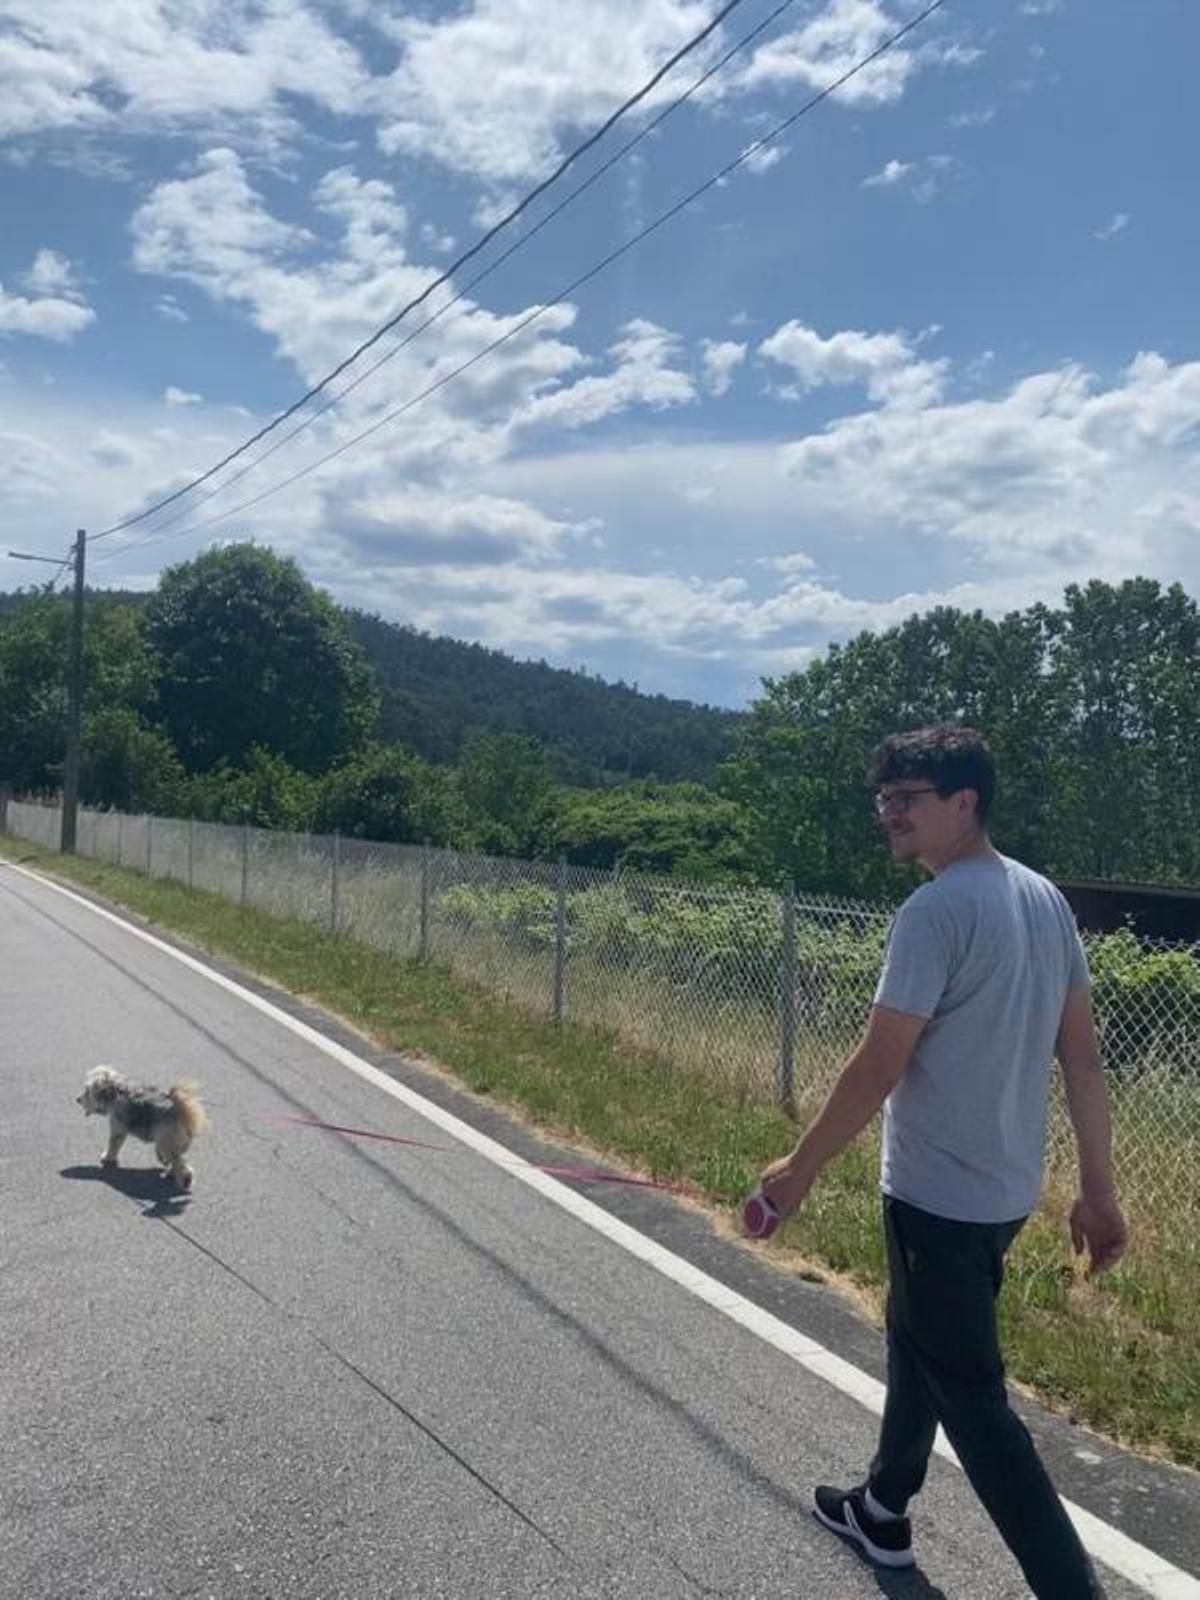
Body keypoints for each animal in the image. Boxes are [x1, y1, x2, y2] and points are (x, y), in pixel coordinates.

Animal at [76, 1062, 209, 1190]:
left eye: (87, 1091)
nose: (77, 1099)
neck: (116, 1091)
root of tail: (179, 1109)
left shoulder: (118, 1128)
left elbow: (113, 1145)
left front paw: (107, 1158)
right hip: (171, 1143)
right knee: (176, 1160)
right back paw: (171, 1172)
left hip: (168, 1143)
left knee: (180, 1164)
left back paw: (186, 1180)